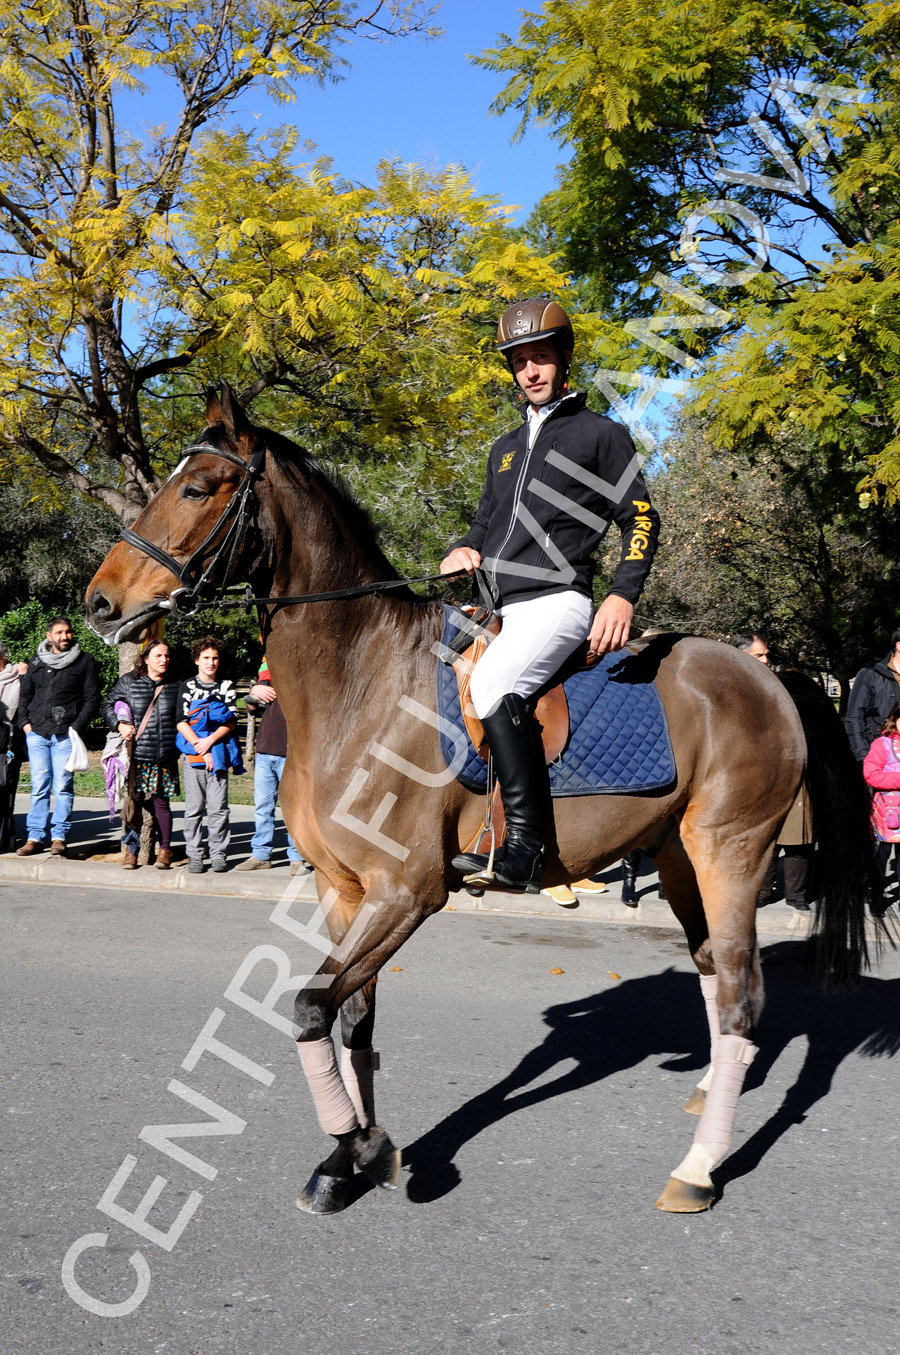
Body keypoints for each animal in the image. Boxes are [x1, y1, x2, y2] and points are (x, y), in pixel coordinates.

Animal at [84, 384, 878, 1219]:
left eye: (198, 488)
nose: (99, 601)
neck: (362, 679)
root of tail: (770, 675)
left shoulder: (407, 892)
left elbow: (309, 1007)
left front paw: (366, 1145)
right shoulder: (343, 889)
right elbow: (352, 1015)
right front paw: (348, 1159)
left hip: (733, 852)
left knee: (741, 993)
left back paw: (698, 1166)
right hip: (679, 855)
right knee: (713, 972)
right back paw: (708, 1096)